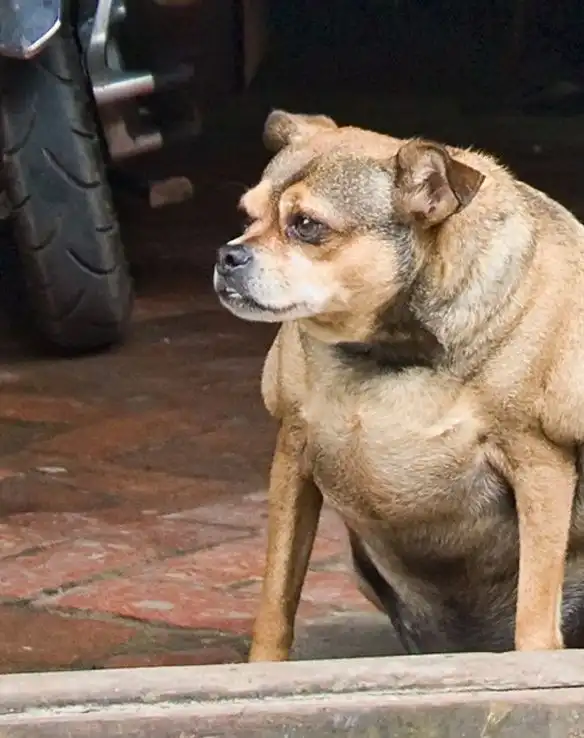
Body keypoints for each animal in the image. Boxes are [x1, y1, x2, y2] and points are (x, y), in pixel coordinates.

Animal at [213, 110, 584, 660]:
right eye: (246, 218)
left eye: (307, 226)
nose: (228, 255)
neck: (383, 352)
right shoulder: (293, 457)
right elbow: (277, 597)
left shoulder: (539, 463)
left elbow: (535, 615)